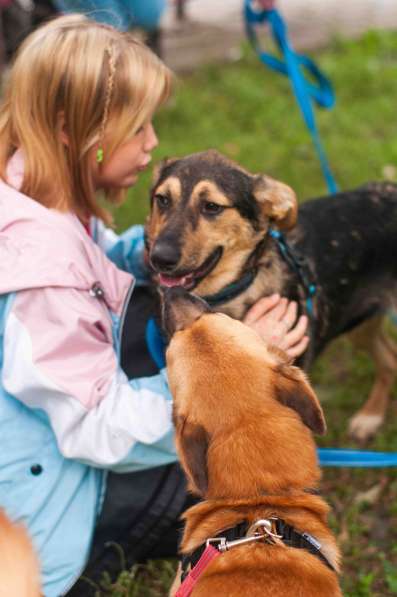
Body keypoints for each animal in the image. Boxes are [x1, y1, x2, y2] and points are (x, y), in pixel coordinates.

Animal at [145, 149, 396, 440]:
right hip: (359, 321)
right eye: (162, 199)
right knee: (389, 358)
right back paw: (370, 416)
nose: (160, 258)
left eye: (212, 207)